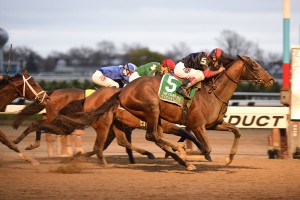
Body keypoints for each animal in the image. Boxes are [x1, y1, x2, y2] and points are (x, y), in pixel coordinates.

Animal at [44, 55, 274, 170]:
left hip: (118, 124)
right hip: (146, 111)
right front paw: (186, 154)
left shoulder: (213, 124)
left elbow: (237, 132)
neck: (212, 92)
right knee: (147, 136)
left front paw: (227, 160)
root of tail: (122, 91)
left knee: (121, 142)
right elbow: (204, 146)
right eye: (254, 66)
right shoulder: (196, 125)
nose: (271, 80)